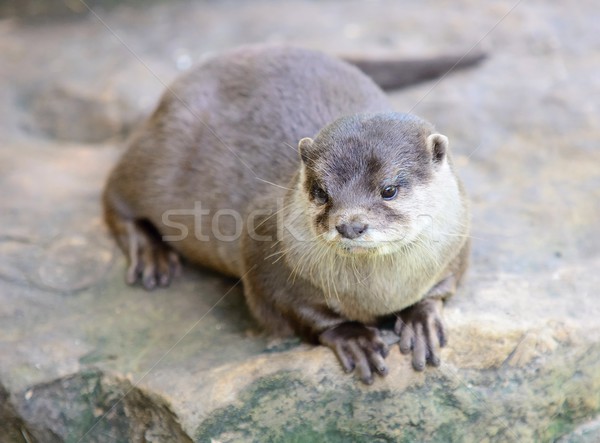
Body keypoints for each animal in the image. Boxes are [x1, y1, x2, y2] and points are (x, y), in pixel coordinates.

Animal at [105, 45, 476, 386]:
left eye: (389, 189)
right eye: (321, 191)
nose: (350, 225)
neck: (378, 294)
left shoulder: (457, 239)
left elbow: (442, 288)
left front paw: (421, 320)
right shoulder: (263, 250)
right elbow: (294, 311)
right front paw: (354, 337)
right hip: (158, 160)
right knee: (113, 195)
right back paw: (151, 253)